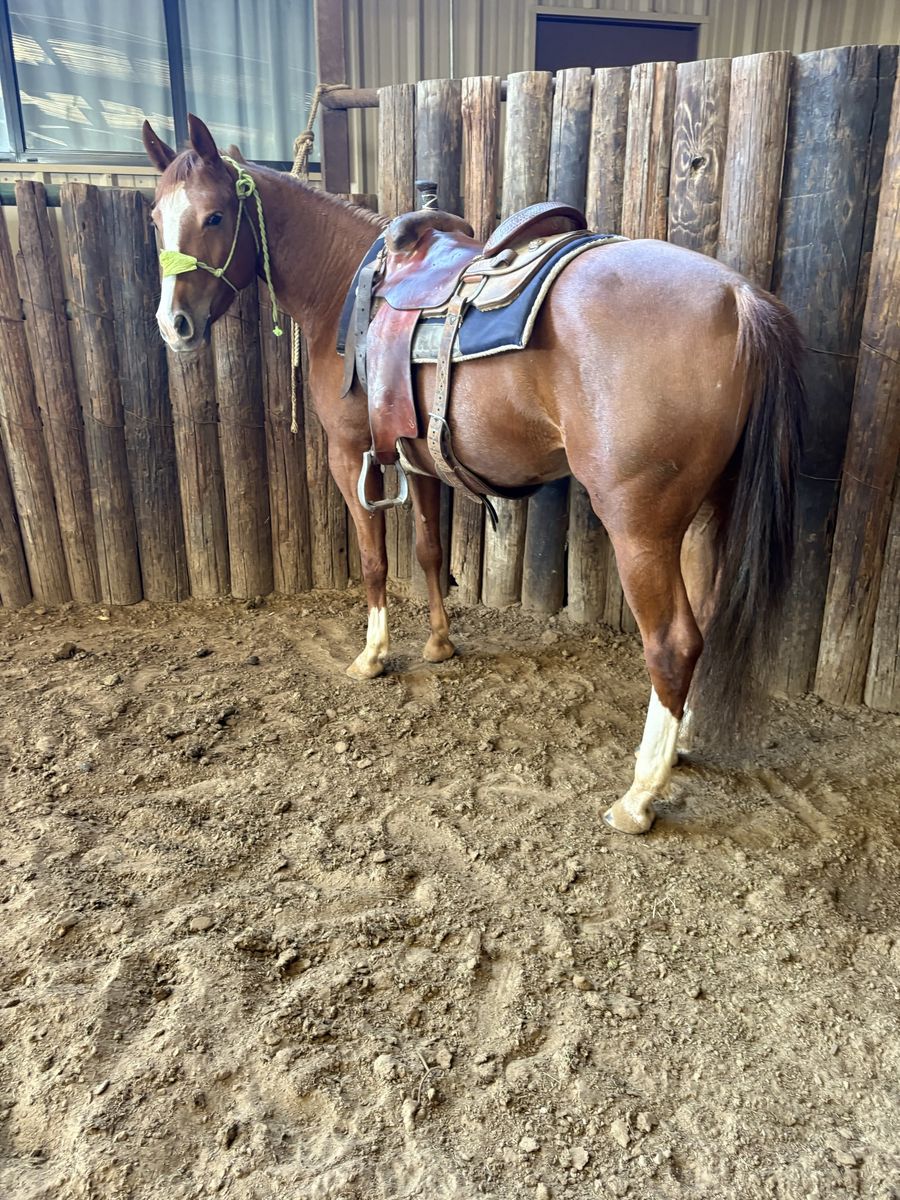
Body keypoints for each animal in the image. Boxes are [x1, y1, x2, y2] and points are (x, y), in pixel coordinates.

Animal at [142, 114, 803, 836]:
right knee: (703, 627)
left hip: (641, 527)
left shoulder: (349, 455)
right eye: (155, 217)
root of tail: (737, 298)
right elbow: (430, 550)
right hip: (707, 516)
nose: (173, 325)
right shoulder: (419, 455)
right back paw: (675, 746)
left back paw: (639, 794)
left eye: (214, 215)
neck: (345, 283)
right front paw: (438, 643)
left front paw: (373, 655)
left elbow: (374, 561)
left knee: (673, 644)